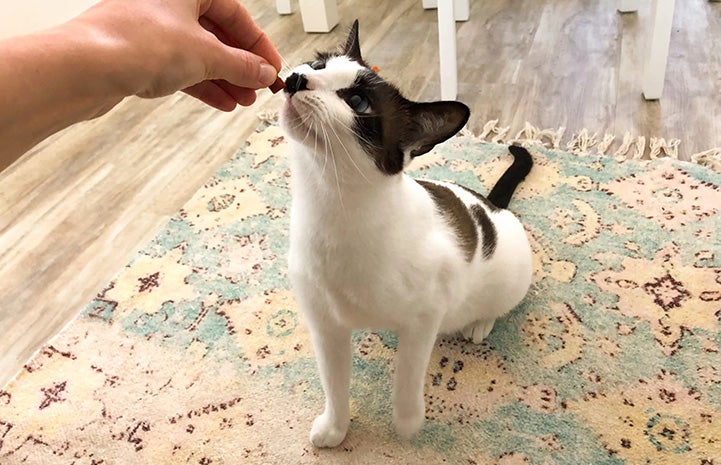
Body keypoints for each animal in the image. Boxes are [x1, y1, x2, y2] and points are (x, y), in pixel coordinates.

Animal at [278, 20, 532, 446]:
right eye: (318, 65)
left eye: (358, 102)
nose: (297, 79)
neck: (331, 207)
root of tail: (491, 205)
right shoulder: (326, 326)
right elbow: (334, 384)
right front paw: (336, 428)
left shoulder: (424, 317)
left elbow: (408, 376)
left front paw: (408, 423)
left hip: (511, 277)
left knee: (499, 305)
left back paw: (479, 323)